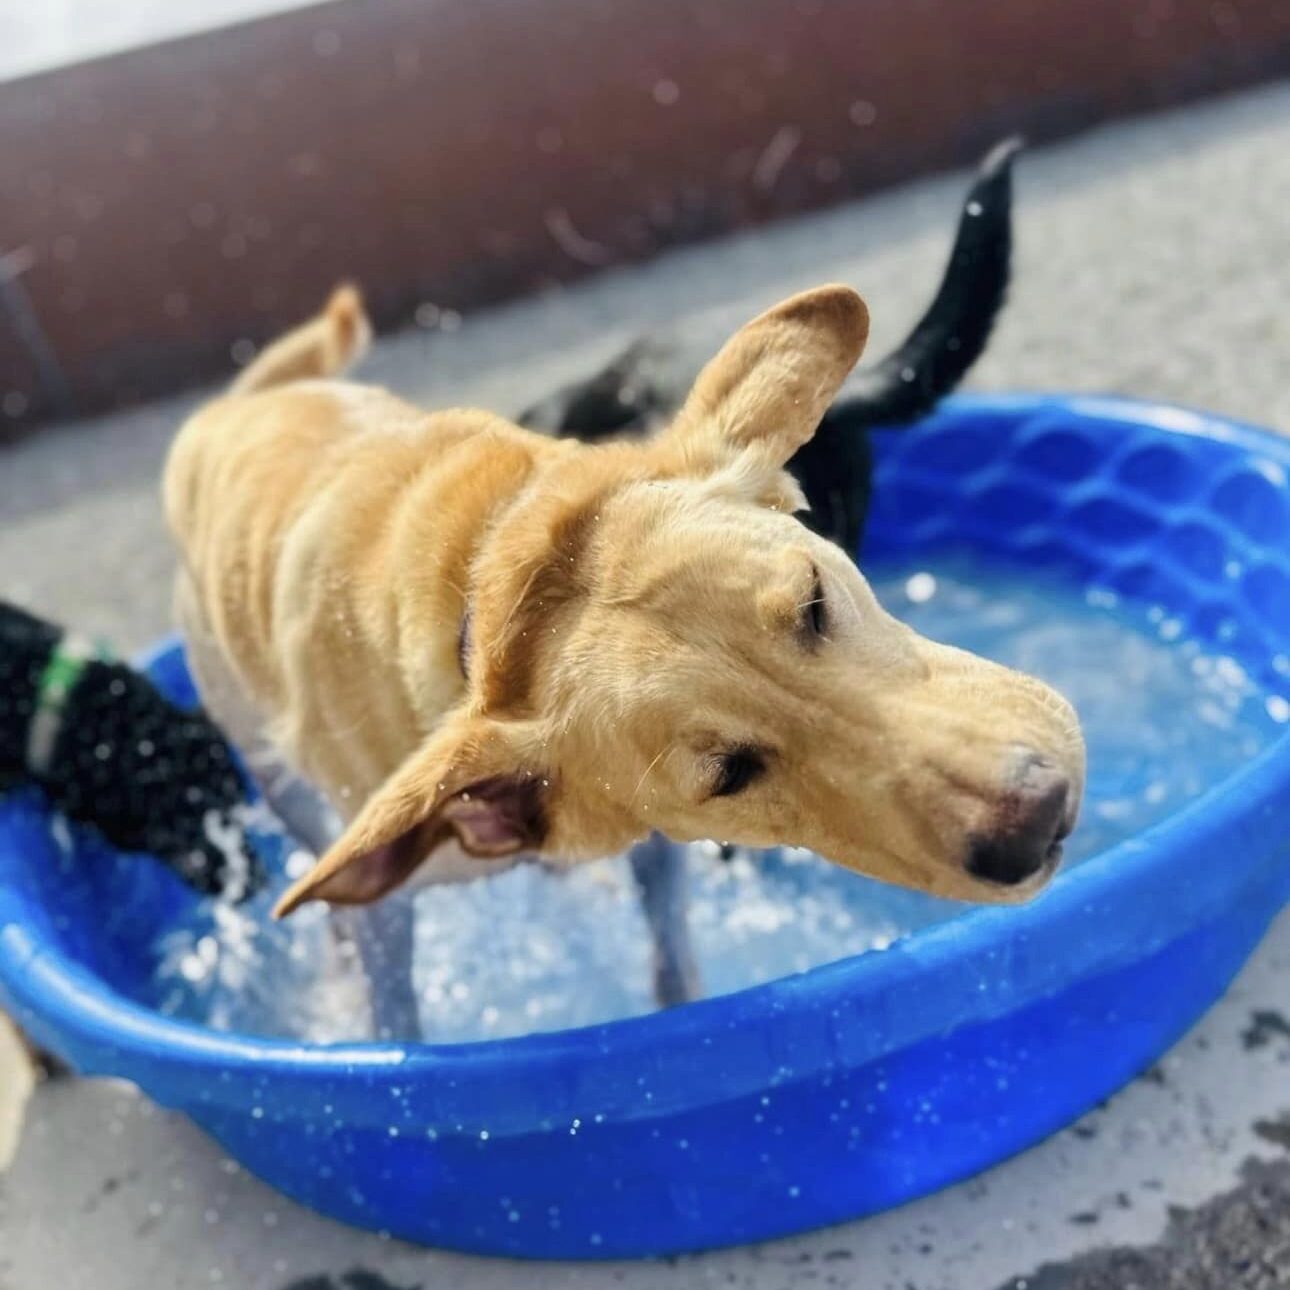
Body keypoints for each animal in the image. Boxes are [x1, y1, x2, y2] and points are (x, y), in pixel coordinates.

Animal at [163, 285, 1088, 1016]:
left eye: (815, 602)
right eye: (729, 775)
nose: (1035, 816)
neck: (489, 578)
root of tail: (237, 405)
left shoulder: (653, 853)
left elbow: (668, 956)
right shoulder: (385, 907)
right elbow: (391, 1003)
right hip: (264, 758)